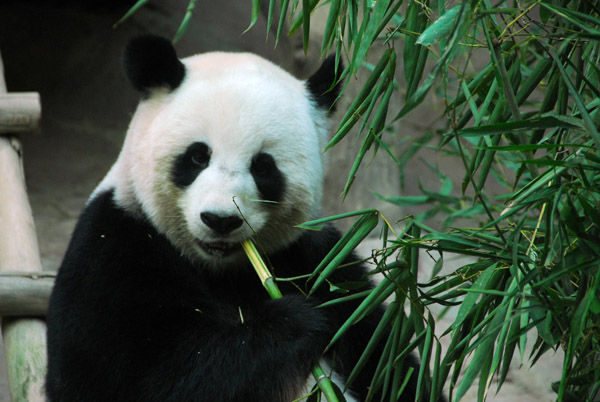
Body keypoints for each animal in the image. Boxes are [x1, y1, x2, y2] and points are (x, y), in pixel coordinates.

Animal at [45, 35, 422, 402]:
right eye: (197, 156)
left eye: (263, 167)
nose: (220, 220)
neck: (221, 270)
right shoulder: (115, 248)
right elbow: (150, 377)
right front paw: (296, 322)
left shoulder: (319, 258)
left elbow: (385, 360)